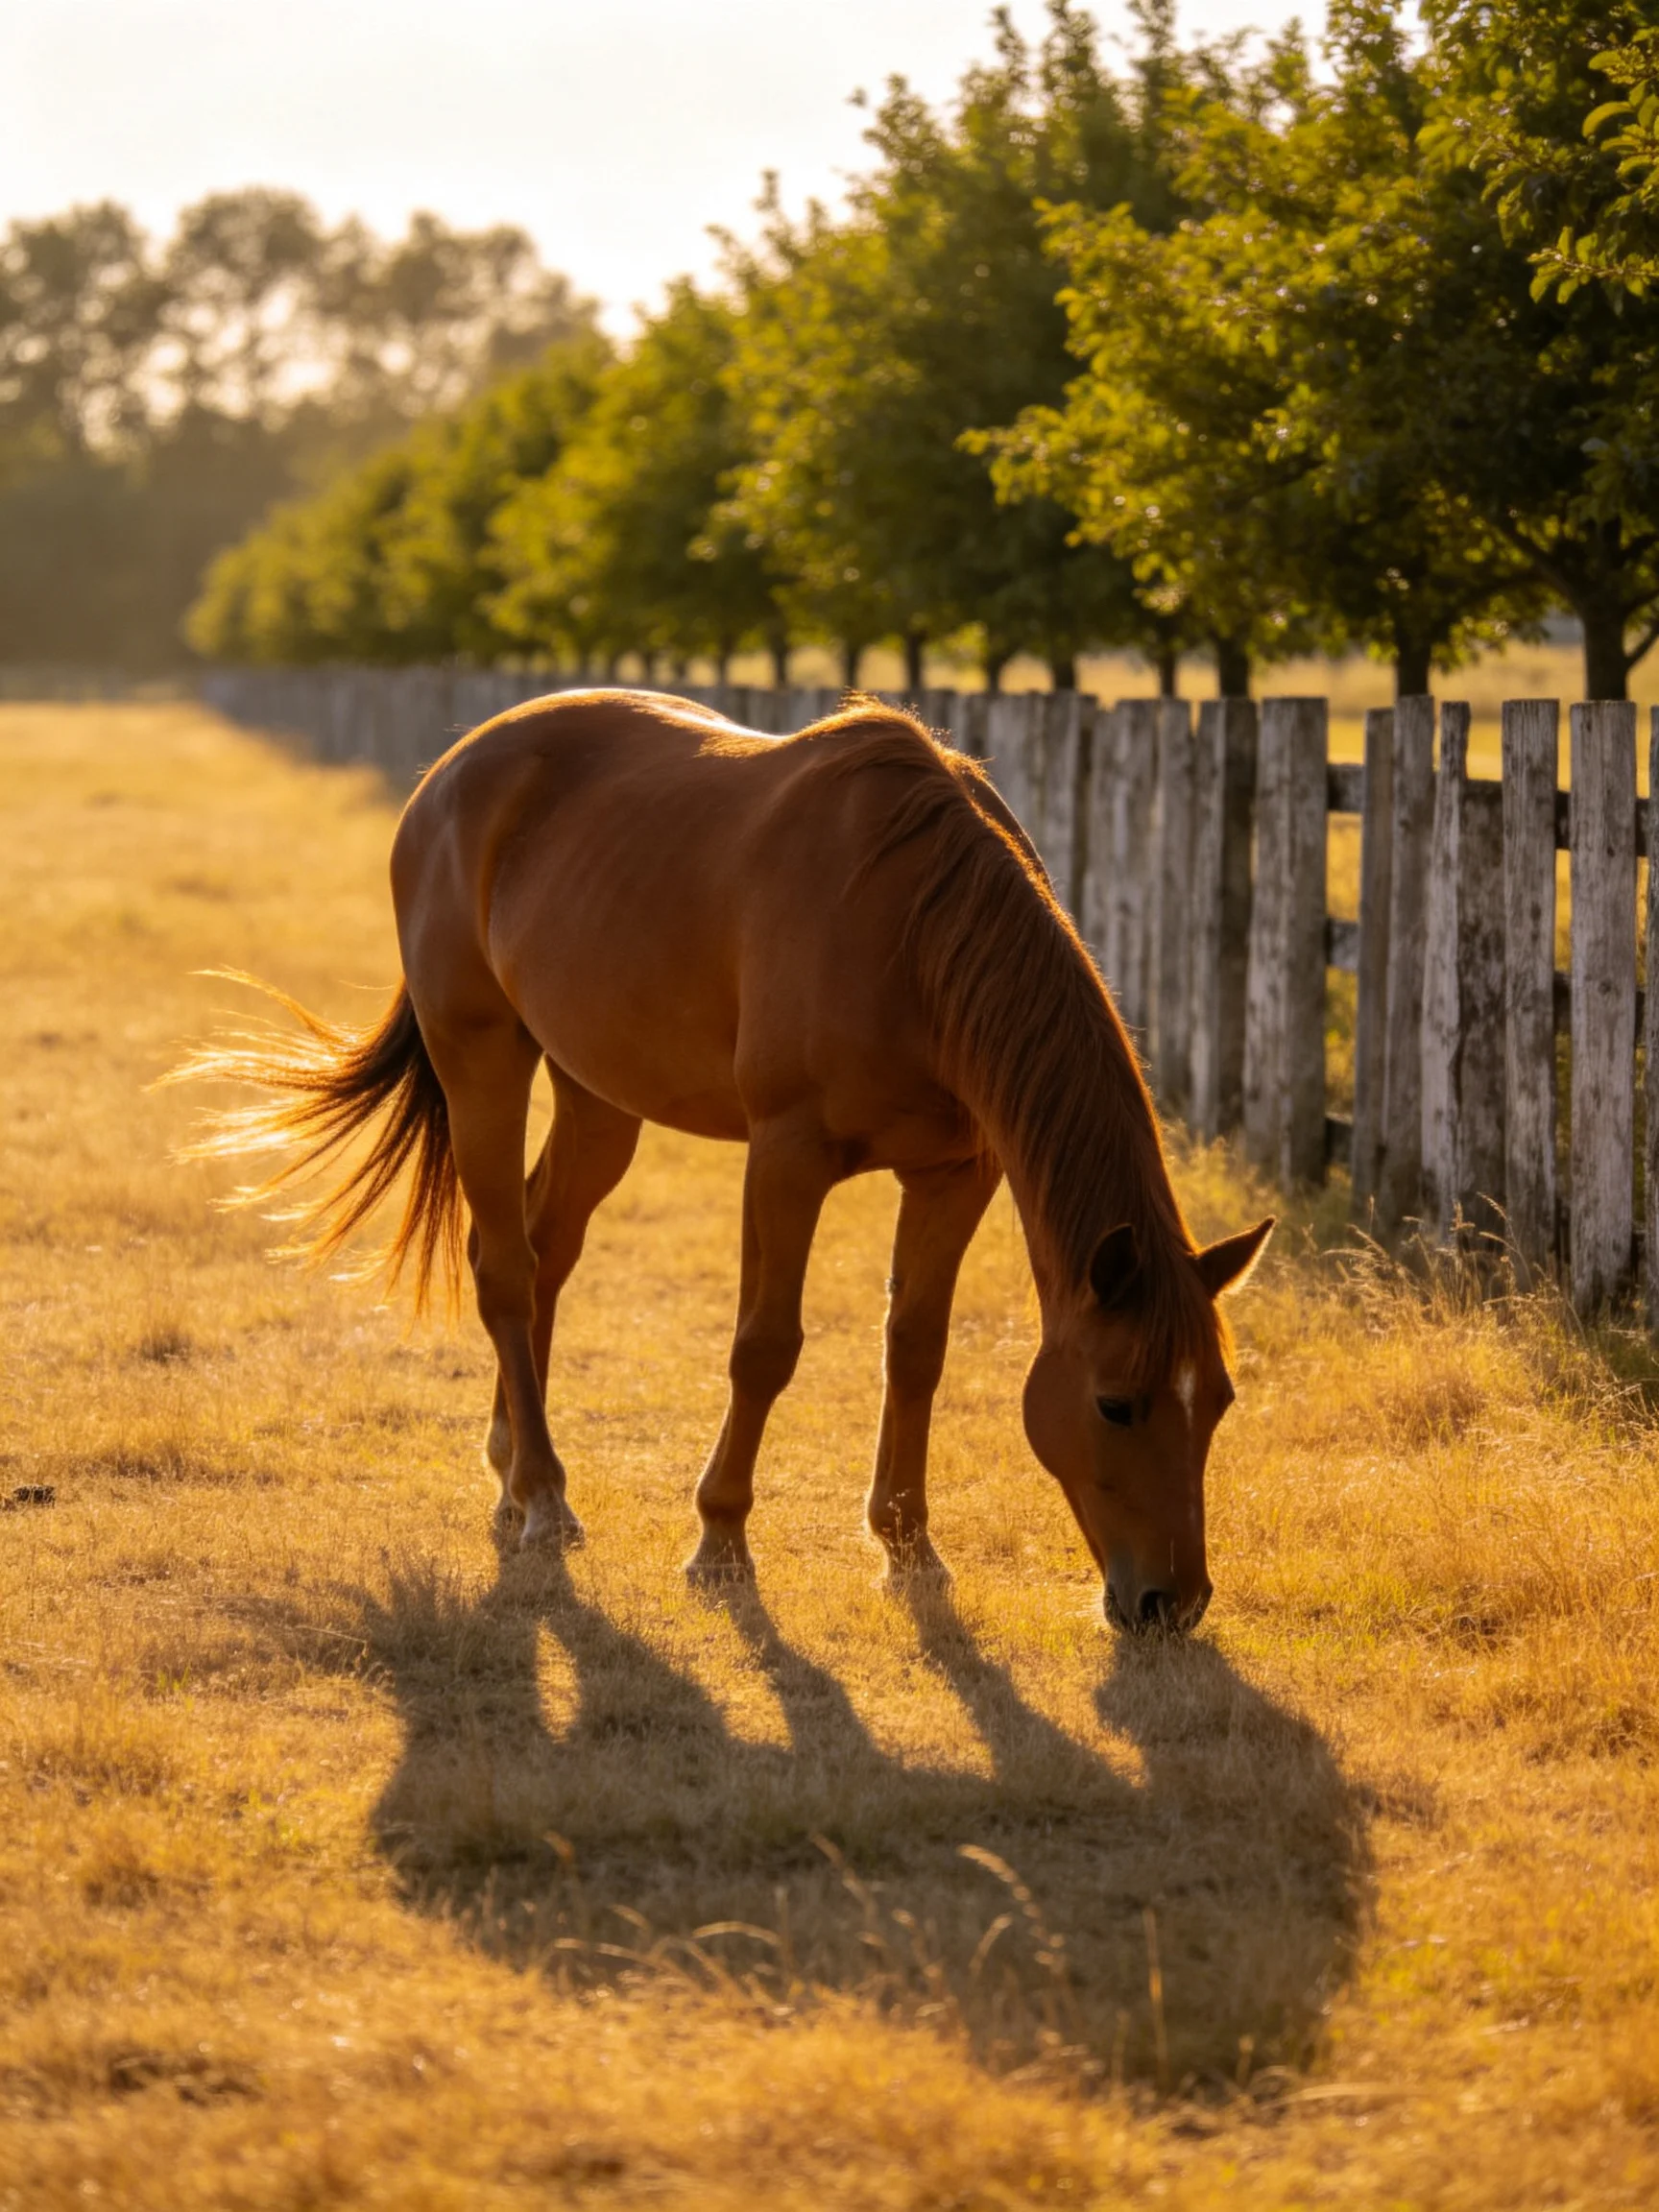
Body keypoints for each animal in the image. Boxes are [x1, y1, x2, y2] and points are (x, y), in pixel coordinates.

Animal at [175, 689, 1271, 1632]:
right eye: (1116, 1404)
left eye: (1218, 1401)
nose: (1171, 1604)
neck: (909, 929)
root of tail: (452, 771)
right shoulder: (786, 1158)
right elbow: (764, 1347)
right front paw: (720, 1543)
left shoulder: (958, 1174)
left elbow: (916, 1347)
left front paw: (909, 1549)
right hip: (481, 1058)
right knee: (505, 1273)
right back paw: (544, 1498)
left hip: (598, 1096)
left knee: (541, 1250)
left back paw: (510, 1469)